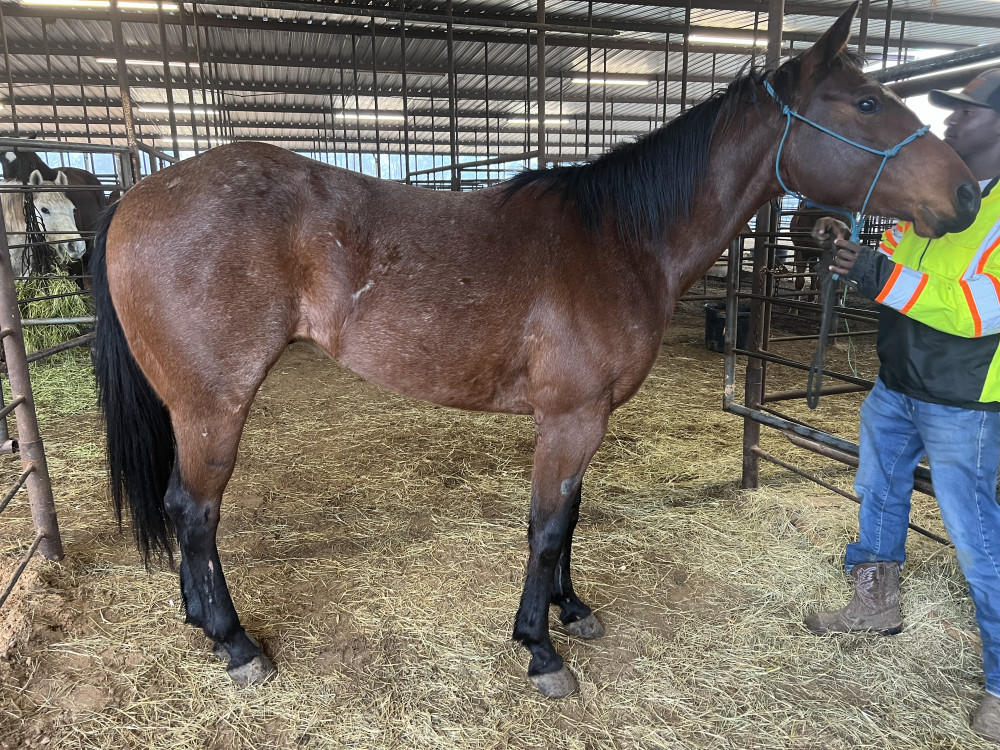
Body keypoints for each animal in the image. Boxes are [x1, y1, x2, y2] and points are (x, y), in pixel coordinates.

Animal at [89, 3, 979, 697]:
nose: (969, 193)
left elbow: (570, 519)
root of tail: (138, 197)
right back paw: (234, 642)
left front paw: (570, 610)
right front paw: (539, 650)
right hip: (213, 406)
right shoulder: (571, 418)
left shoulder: (583, 420)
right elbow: (547, 528)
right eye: (867, 102)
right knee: (193, 513)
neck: (620, 239)